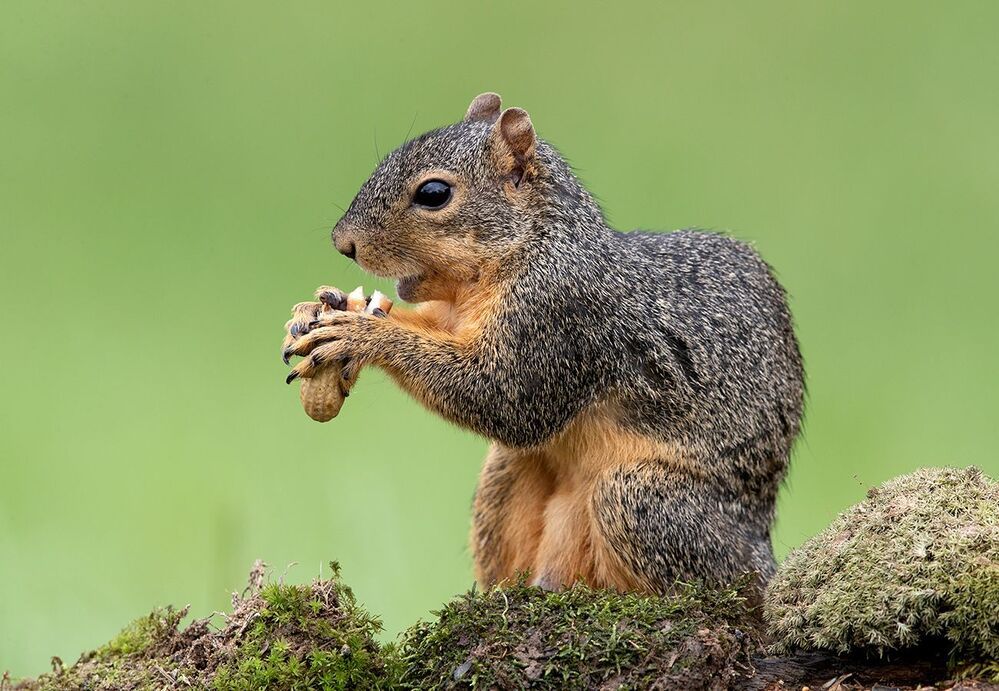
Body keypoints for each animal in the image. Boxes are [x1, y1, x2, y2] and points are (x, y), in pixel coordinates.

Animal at [282, 92, 805, 593]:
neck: (532, 247)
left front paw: (363, 333)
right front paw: (319, 309)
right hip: (505, 481)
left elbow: (502, 396)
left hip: (644, 502)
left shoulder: (558, 316)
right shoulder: (452, 316)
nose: (343, 243)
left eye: (433, 193)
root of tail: (763, 552)